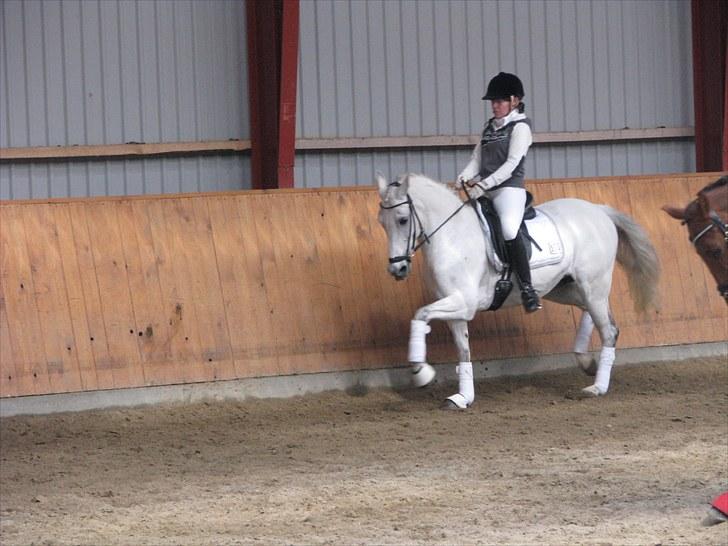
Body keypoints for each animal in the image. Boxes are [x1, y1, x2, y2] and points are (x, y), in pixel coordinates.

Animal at [376, 173, 661, 409]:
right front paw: (462, 397)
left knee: (608, 329)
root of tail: (598, 210)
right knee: (594, 314)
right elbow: (462, 349)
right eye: (382, 223)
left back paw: (597, 387)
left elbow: (420, 314)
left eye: (402, 220)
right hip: (565, 288)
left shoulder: (464, 302)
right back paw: (586, 362)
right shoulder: (455, 307)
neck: (452, 238)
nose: (397, 269)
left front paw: (421, 372)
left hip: (593, 284)